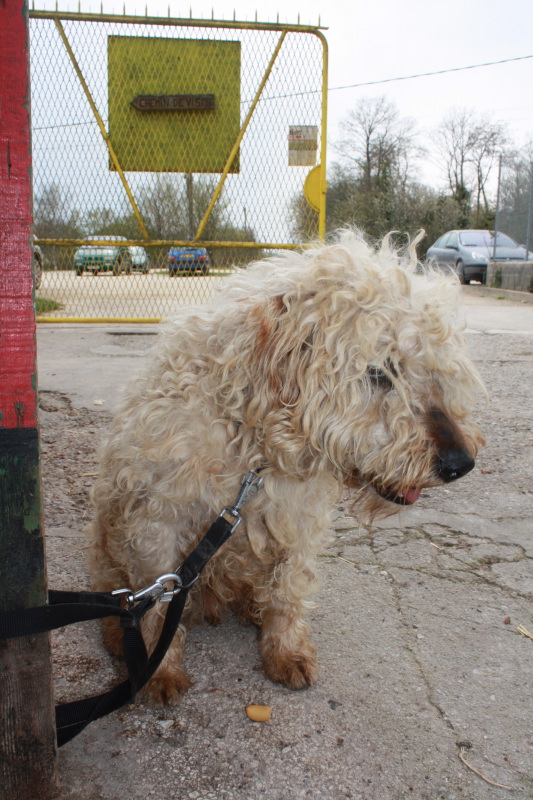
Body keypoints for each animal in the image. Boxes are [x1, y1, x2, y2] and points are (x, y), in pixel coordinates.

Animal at [87, 230, 482, 708]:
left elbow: (288, 593)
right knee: (119, 597)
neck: (255, 450)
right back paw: (117, 634)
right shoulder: (156, 525)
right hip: (106, 545)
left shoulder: (297, 524)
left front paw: (285, 650)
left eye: (438, 368)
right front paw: (159, 670)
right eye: (381, 371)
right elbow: (159, 607)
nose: (460, 464)